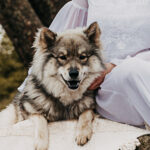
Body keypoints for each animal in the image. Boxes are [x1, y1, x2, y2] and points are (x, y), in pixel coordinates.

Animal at [0, 21, 105, 149]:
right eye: (62, 57)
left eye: (82, 57)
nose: (74, 73)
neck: (66, 97)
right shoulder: (30, 113)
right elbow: (41, 120)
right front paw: (41, 143)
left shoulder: (90, 108)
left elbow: (86, 114)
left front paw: (82, 133)